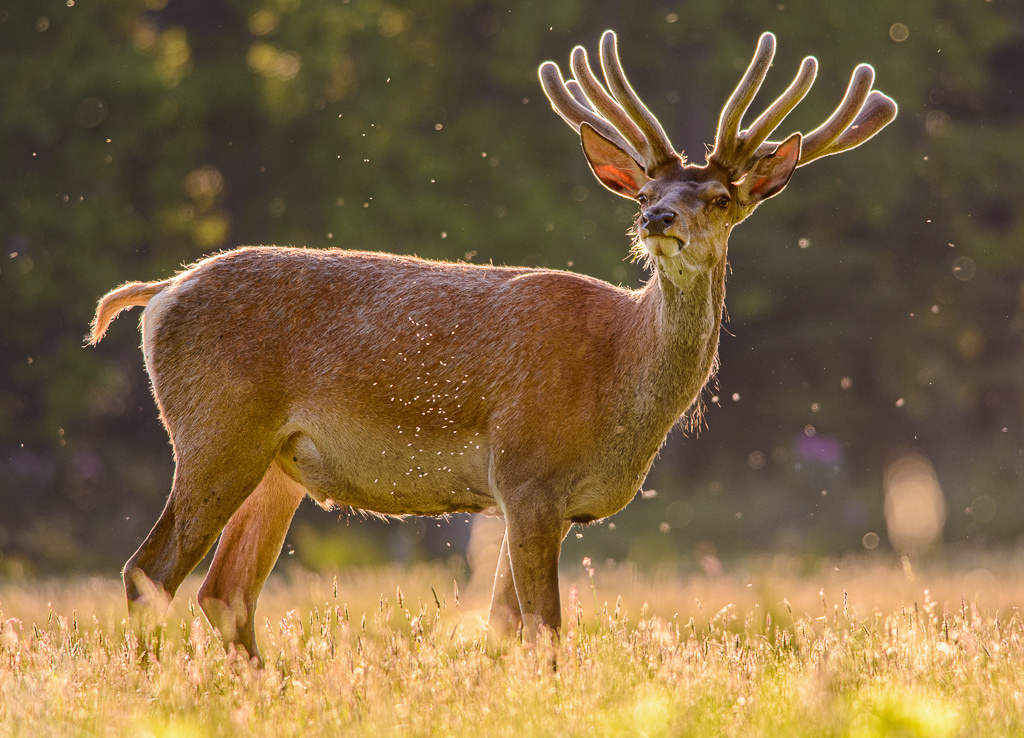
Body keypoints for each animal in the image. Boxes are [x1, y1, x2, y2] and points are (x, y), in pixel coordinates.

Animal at [89, 29, 895, 662]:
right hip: (216, 430)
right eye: (644, 193)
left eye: (722, 198)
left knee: (225, 594)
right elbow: (543, 626)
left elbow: (506, 623)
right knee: (149, 572)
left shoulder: (532, 502)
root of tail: (159, 295)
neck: (620, 386)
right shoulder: (527, 474)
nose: (658, 218)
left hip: (277, 465)